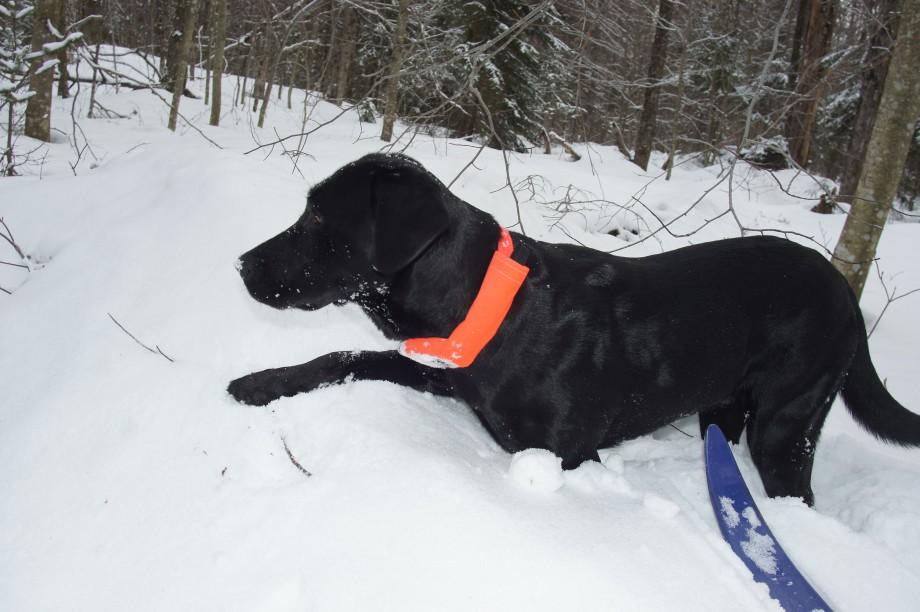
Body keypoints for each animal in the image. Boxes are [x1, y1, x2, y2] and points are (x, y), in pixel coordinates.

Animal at [230, 154, 920, 506]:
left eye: (318, 216)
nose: (241, 264)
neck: (491, 304)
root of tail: (844, 293)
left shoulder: (570, 453)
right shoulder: (446, 372)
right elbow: (344, 355)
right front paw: (262, 382)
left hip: (786, 424)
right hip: (722, 405)